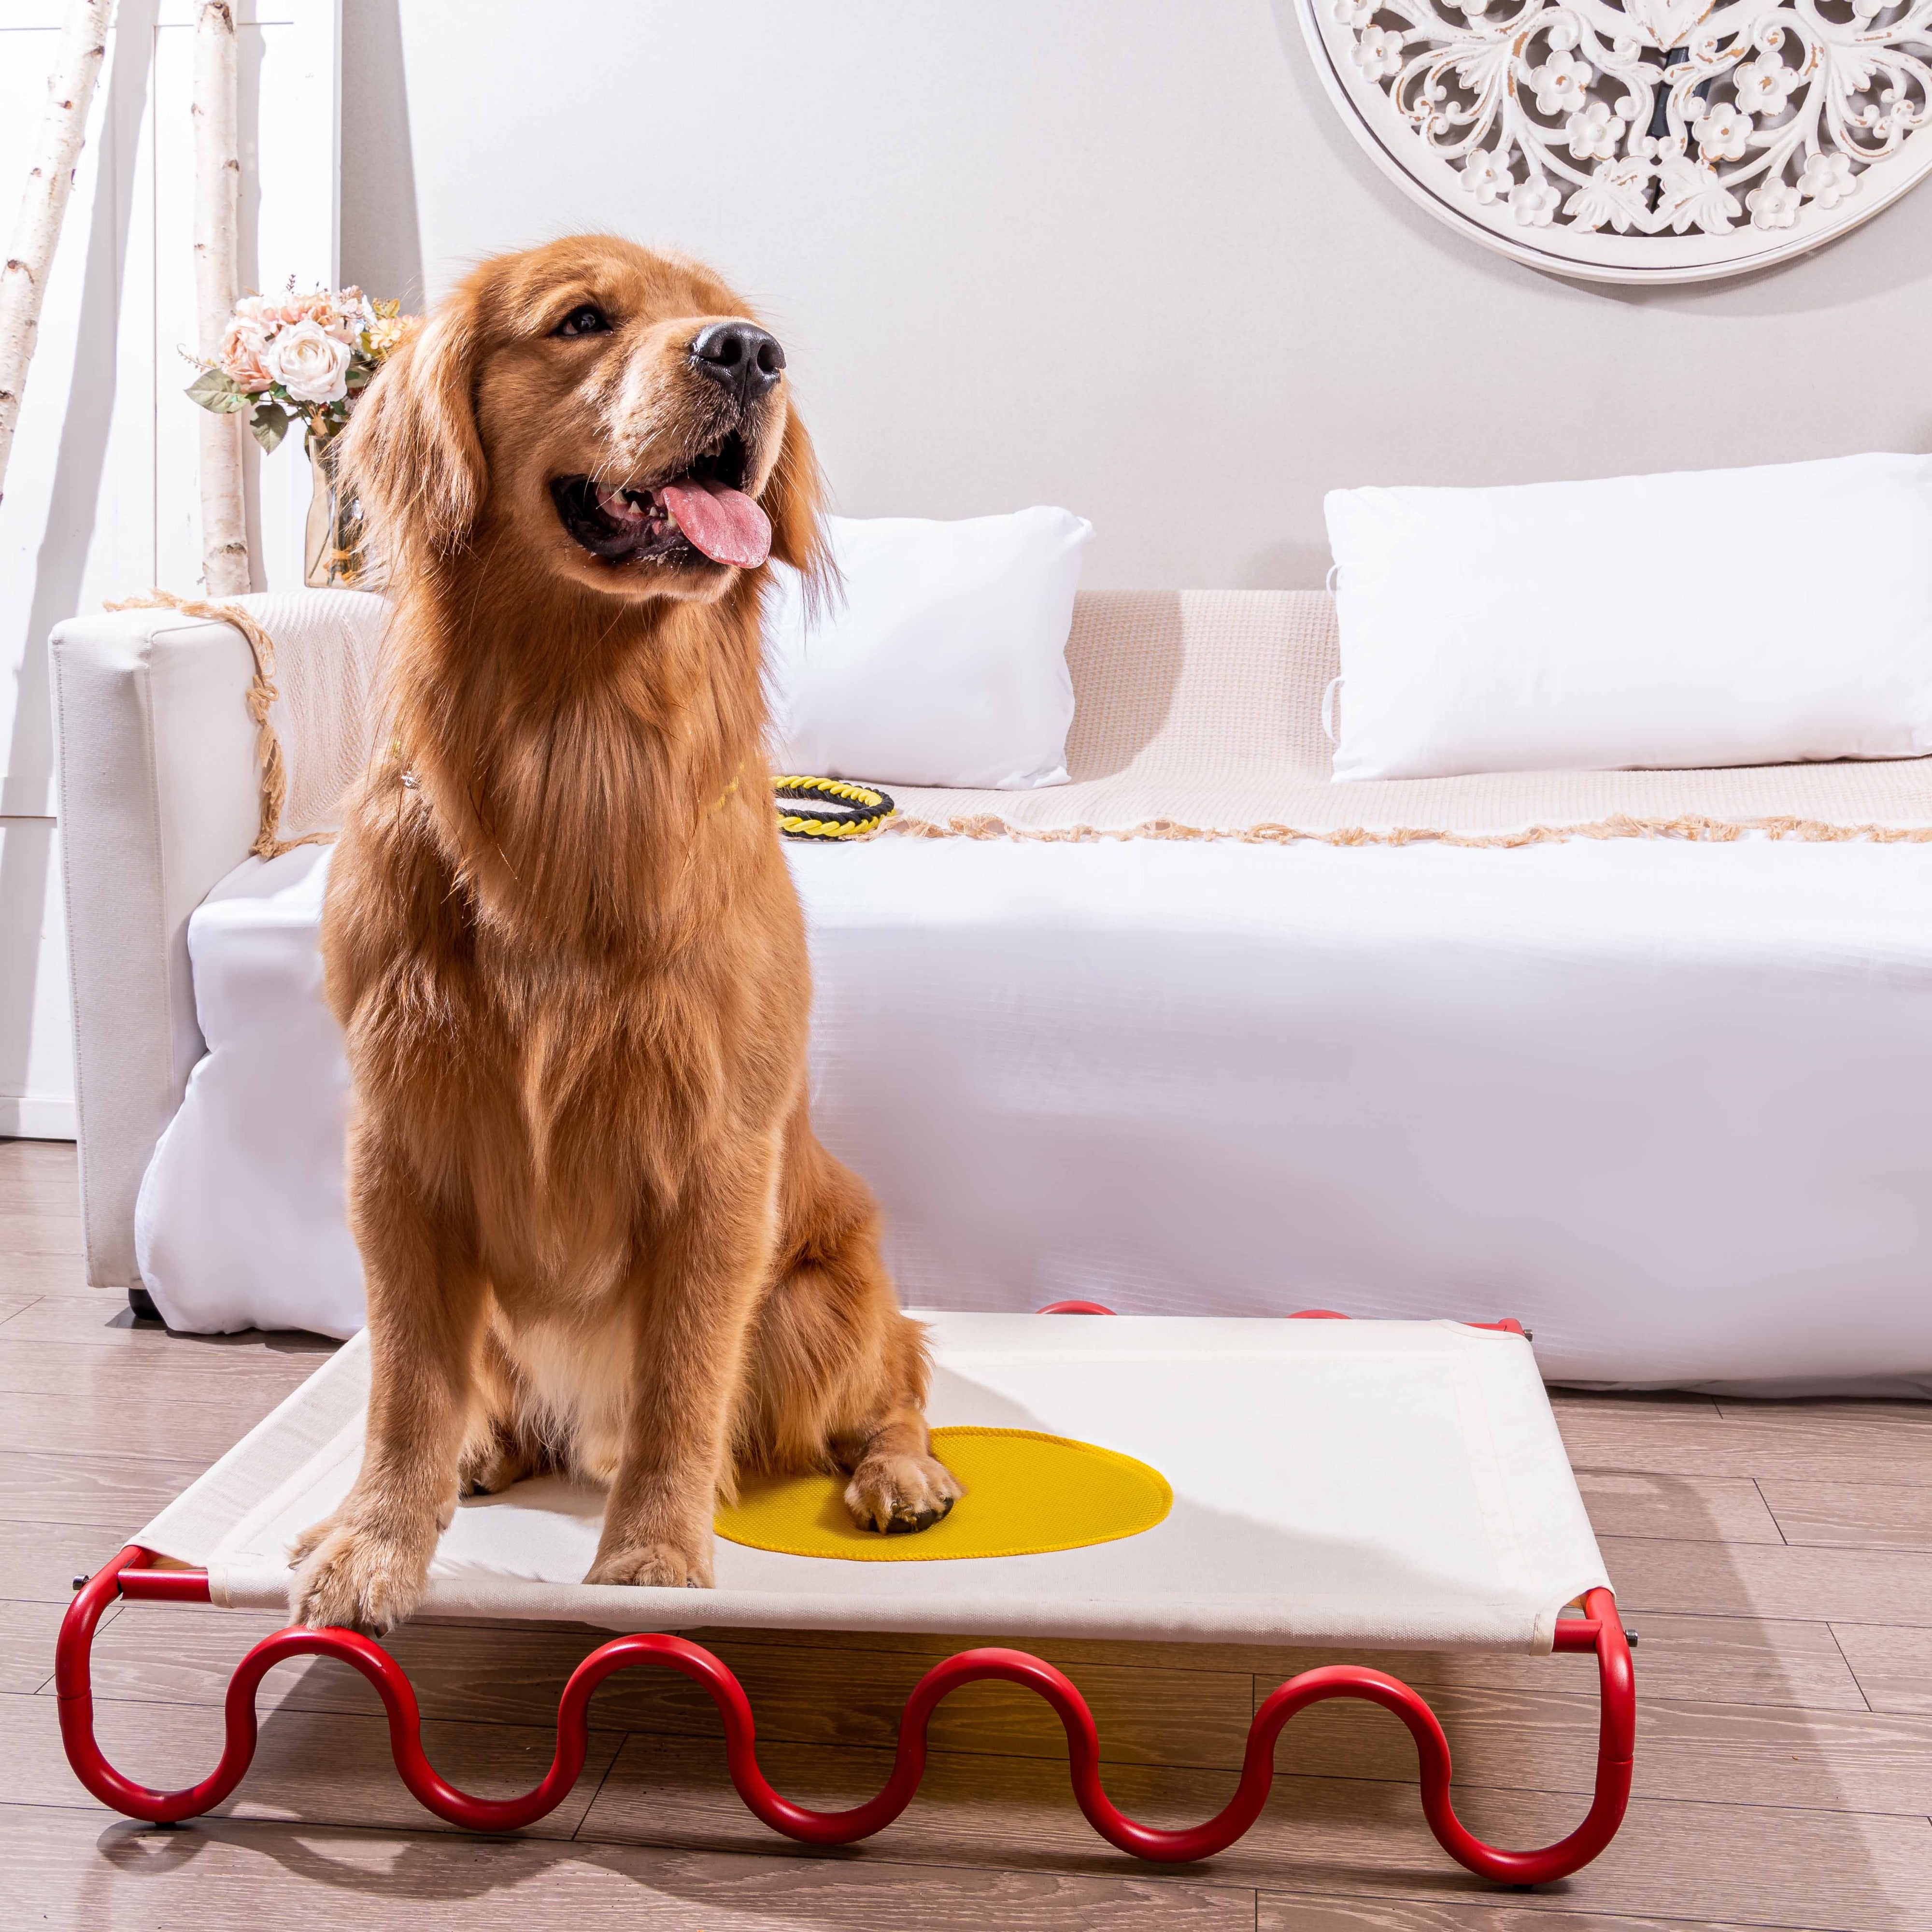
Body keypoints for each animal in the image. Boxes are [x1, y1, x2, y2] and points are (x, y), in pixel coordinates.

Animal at [288, 234, 966, 1638]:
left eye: (739, 321)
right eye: (581, 319)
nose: (750, 356)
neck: (578, 742)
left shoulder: (715, 1156)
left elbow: (677, 1383)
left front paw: (653, 1559)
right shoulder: (398, 1138)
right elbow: (403, 1385)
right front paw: (376, 1539)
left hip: (826, 1293)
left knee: (899, 1375)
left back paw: (901, 1472)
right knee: (480, 1392)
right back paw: (487, 1448)